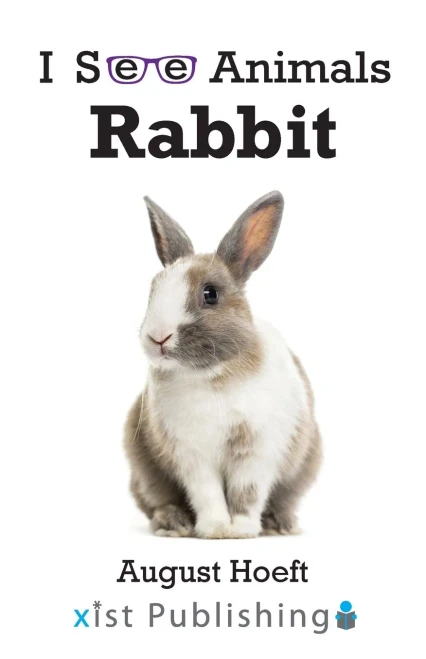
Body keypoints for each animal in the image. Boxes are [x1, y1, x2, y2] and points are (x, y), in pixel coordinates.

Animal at [124, 191, 322, 539]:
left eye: (210, 294)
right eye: (153, 290)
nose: (157, 337)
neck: (211, 375)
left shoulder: (257, 450)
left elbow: (247, 493)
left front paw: (240, 530)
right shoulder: (192, 455)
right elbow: (208, 493)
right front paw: (216, 528)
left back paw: (281, 524)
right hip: (144, 470)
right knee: (158, 500)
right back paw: (173, 524)